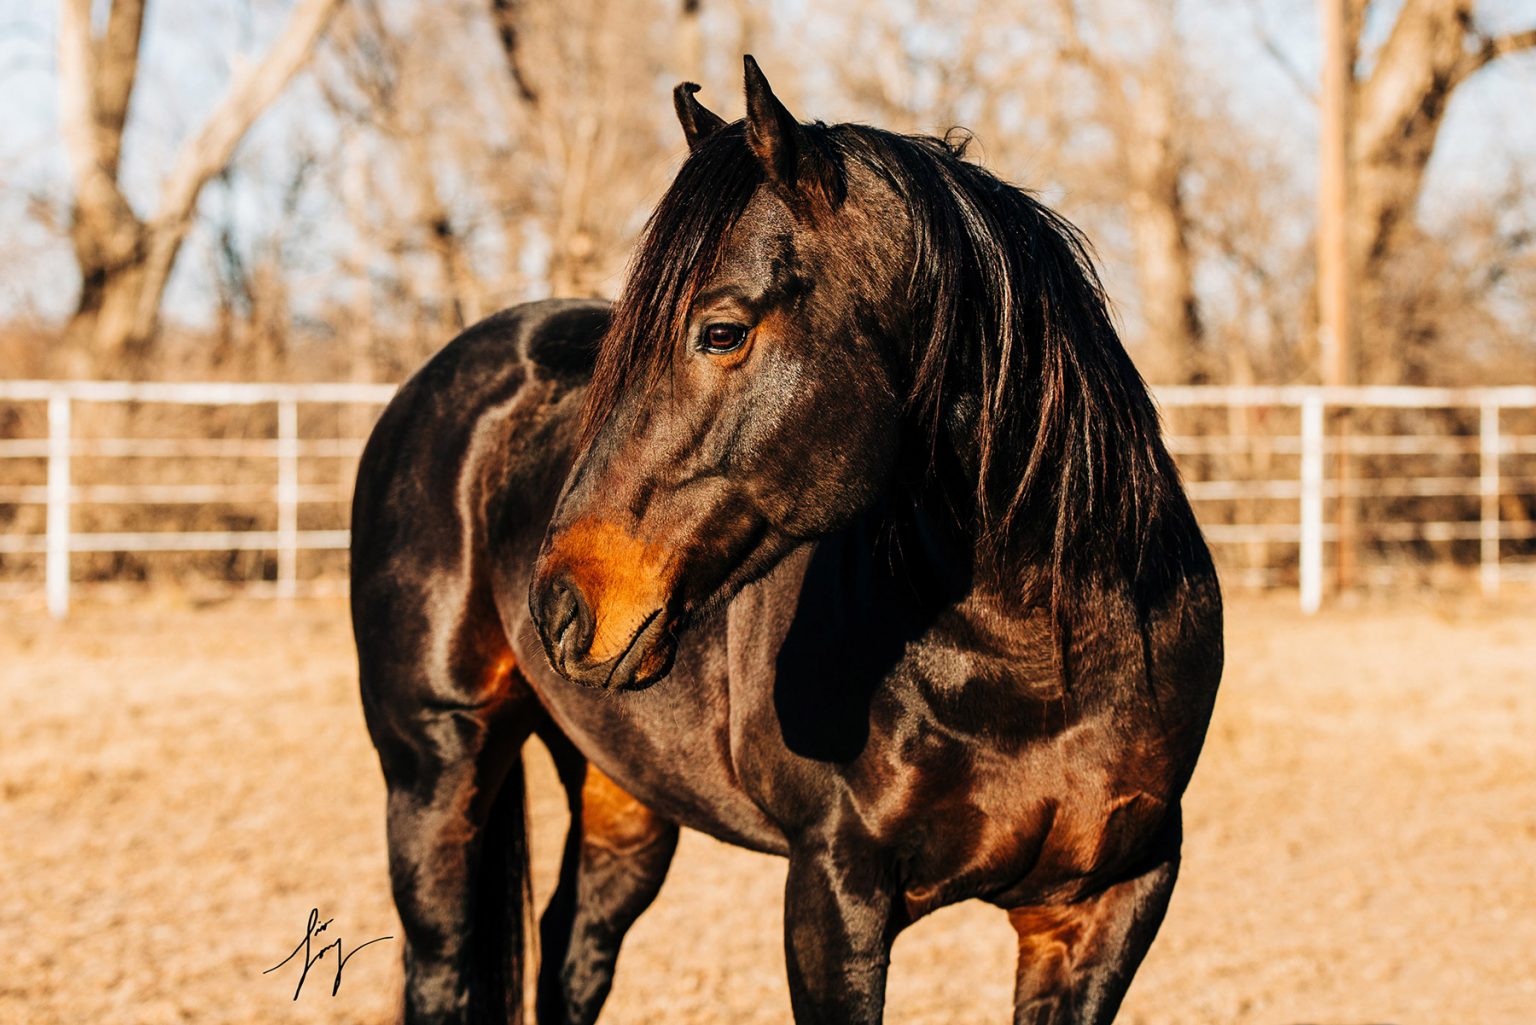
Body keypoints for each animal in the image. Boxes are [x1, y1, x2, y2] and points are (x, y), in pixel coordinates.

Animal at [351, 56, 1222, 1025]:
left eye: (721, 330)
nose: (561, 606)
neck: (1040, 665)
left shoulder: (1102, 904)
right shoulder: (834, 891)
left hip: (622, 796)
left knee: (572, 953)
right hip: (435, 769)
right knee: (442, 967)